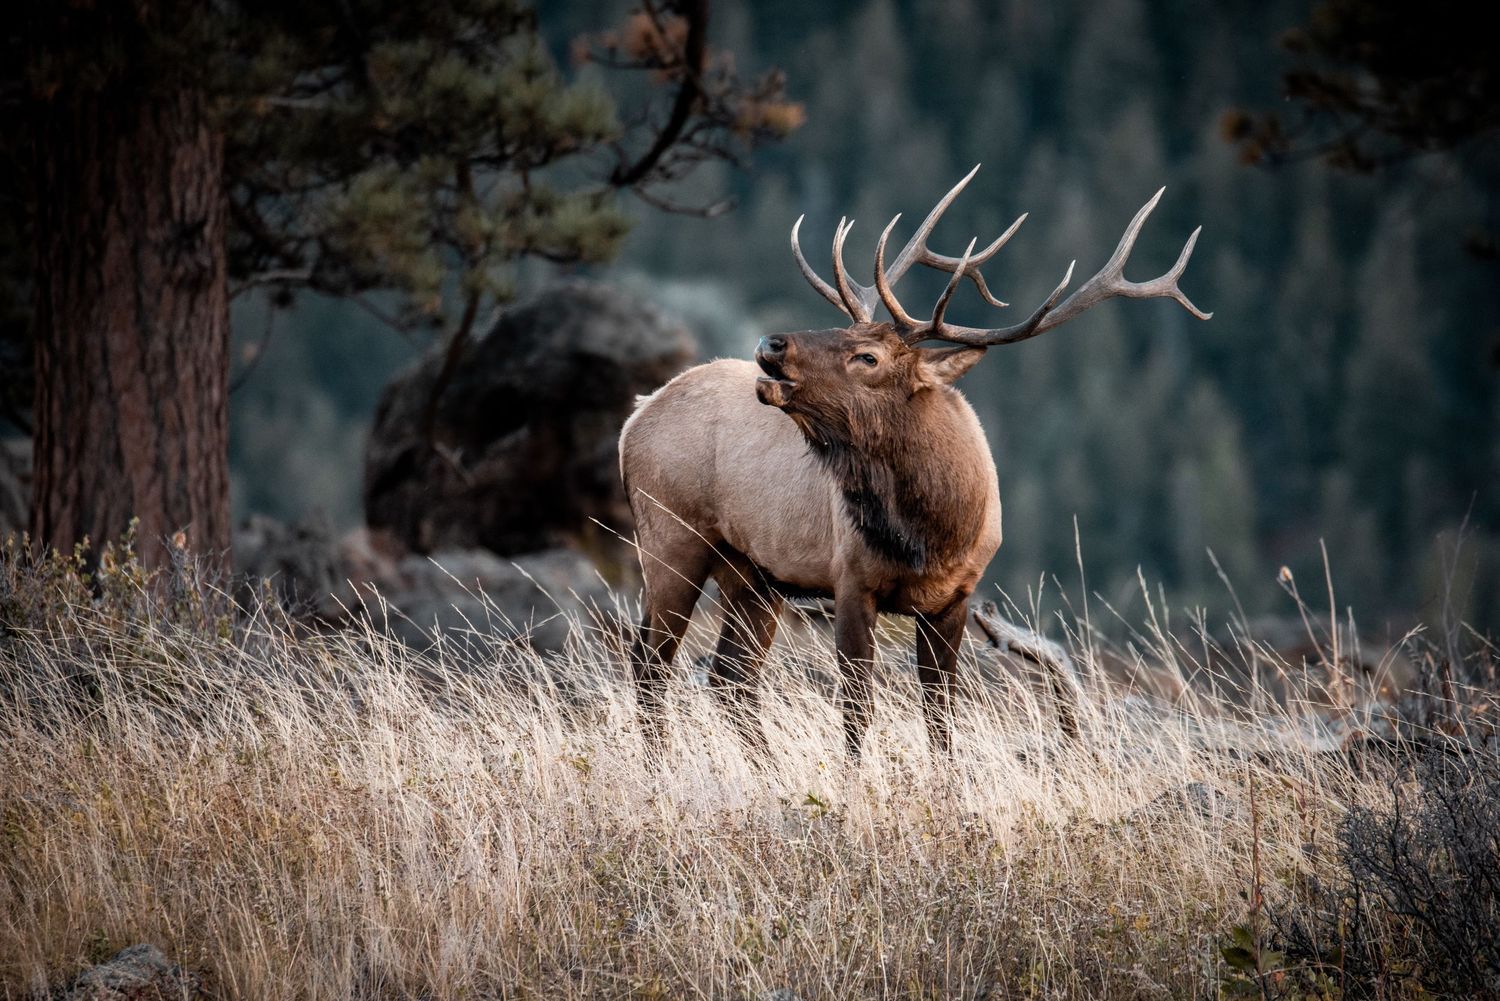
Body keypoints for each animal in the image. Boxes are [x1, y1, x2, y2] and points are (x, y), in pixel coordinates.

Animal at [618, 165, 1210, 759]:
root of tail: (635, 416)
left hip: (754, 574)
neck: (931, 534)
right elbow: (857, 709)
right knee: (651, 664)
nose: (772, 342)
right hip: (671, 539)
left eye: (868, 356)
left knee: (730, 679)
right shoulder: (850, 580)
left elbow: (940, 715)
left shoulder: (957, 598)